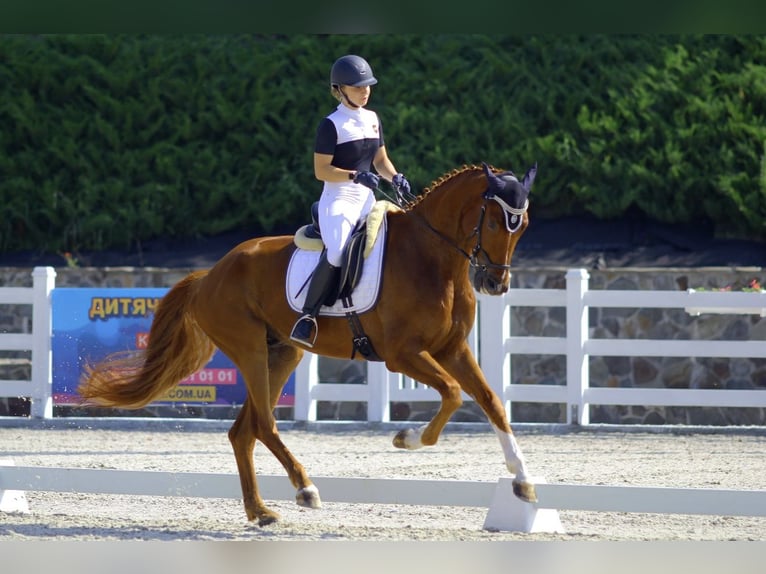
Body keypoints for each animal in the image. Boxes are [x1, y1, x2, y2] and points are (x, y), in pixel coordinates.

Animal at [78, 161, 540, 528]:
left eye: (523, 226)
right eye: (494, 223)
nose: (495, 284)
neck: (431, 257)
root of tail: (210, 273)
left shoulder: (452, 350)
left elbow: (491, 402)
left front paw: (523, 482)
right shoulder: (403, 355)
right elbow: (453, 393)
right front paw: (406, 438)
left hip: (282, 353)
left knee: (243, 431)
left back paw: (261, 511)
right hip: (249, 349)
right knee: (265, 424)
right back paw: (305, 489)